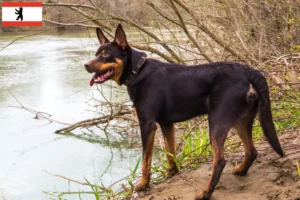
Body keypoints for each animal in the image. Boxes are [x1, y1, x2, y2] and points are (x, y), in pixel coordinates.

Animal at [84, 24, 284, 199]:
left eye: (106, 55)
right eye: (96, 54)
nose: (86, 65)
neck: (137, 70)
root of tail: (247, 70)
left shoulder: (147, 125)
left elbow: (146, 160)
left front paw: (143, 184)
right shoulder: (166, 124)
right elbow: (170, 152)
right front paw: (172, 173)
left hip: (217, 122)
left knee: (220, 160)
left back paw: (206, 192)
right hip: (241, 119)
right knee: (252, 151)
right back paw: (241, 170)